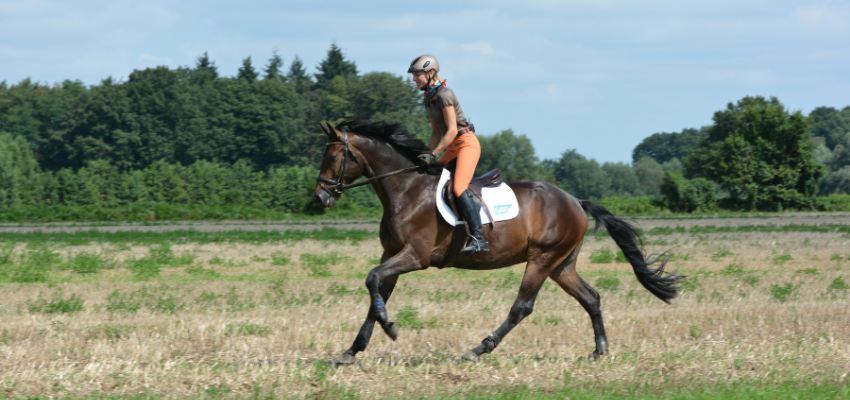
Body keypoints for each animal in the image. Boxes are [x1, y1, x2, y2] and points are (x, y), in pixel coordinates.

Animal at [314, 120, 684, 364]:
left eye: (332, 157)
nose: (320, 197)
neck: (405, 190)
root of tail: (576, 201)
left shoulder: (414, 256)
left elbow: (372, 278)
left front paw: (390, 328)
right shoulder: (392, 253)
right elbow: (376, 291)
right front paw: (352, 351)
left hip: (542, 258)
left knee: (522, 307)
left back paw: (479, 348)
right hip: (561, 264)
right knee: (591, 297)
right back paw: (600, 349)